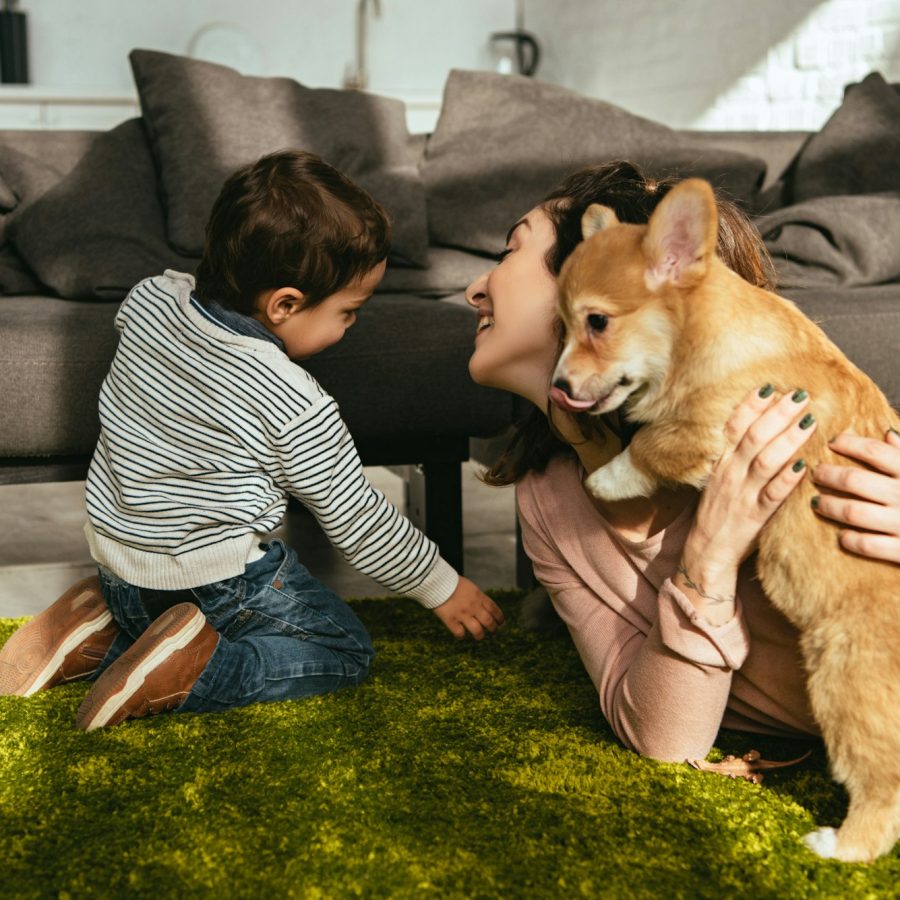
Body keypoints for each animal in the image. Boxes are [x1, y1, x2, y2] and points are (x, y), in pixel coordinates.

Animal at [548, 179, 900, 860]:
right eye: (561, 324)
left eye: (597, 322)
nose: (556, 387)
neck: (701, 339)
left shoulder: (718, 426)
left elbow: (654, 442)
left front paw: (604, 478)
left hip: (846, 681)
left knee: (882, 785)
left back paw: (836, 846)